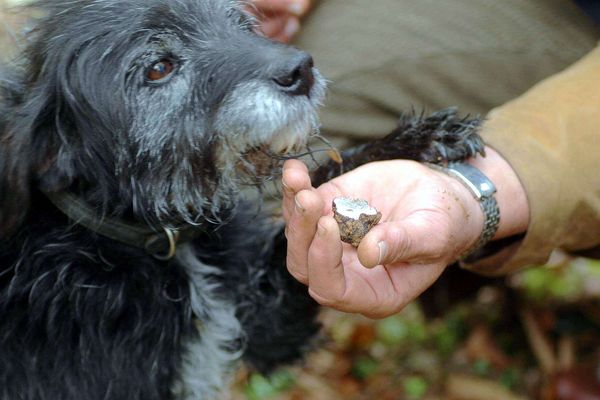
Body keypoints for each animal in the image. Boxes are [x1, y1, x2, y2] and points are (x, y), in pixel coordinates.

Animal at [0, 0, 482, 400]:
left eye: (236, 22)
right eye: (158, 67)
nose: (301, 68)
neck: (162, 242)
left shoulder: (271, 325)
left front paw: (414, 142)